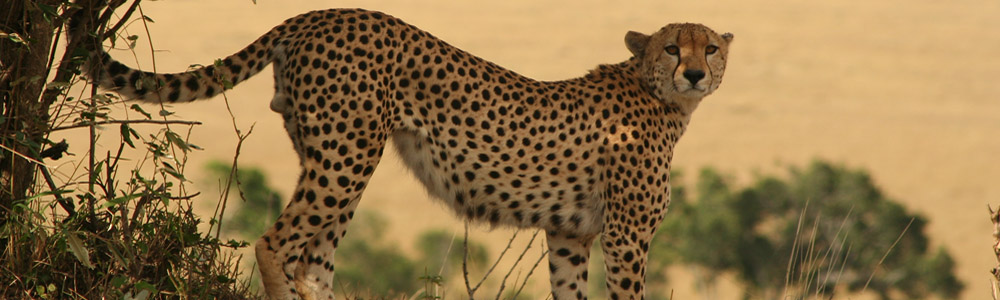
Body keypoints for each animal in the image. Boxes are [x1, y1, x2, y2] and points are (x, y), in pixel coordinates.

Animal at [68, 7, 728, 300]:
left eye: (712, 47)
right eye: (673, 47)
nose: (696, 73)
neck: (660, 96)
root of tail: (322, 12)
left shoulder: (571, 234)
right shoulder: (625, 236)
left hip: (330, 155)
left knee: (314, 260)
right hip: (348, 155)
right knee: (276, 242)